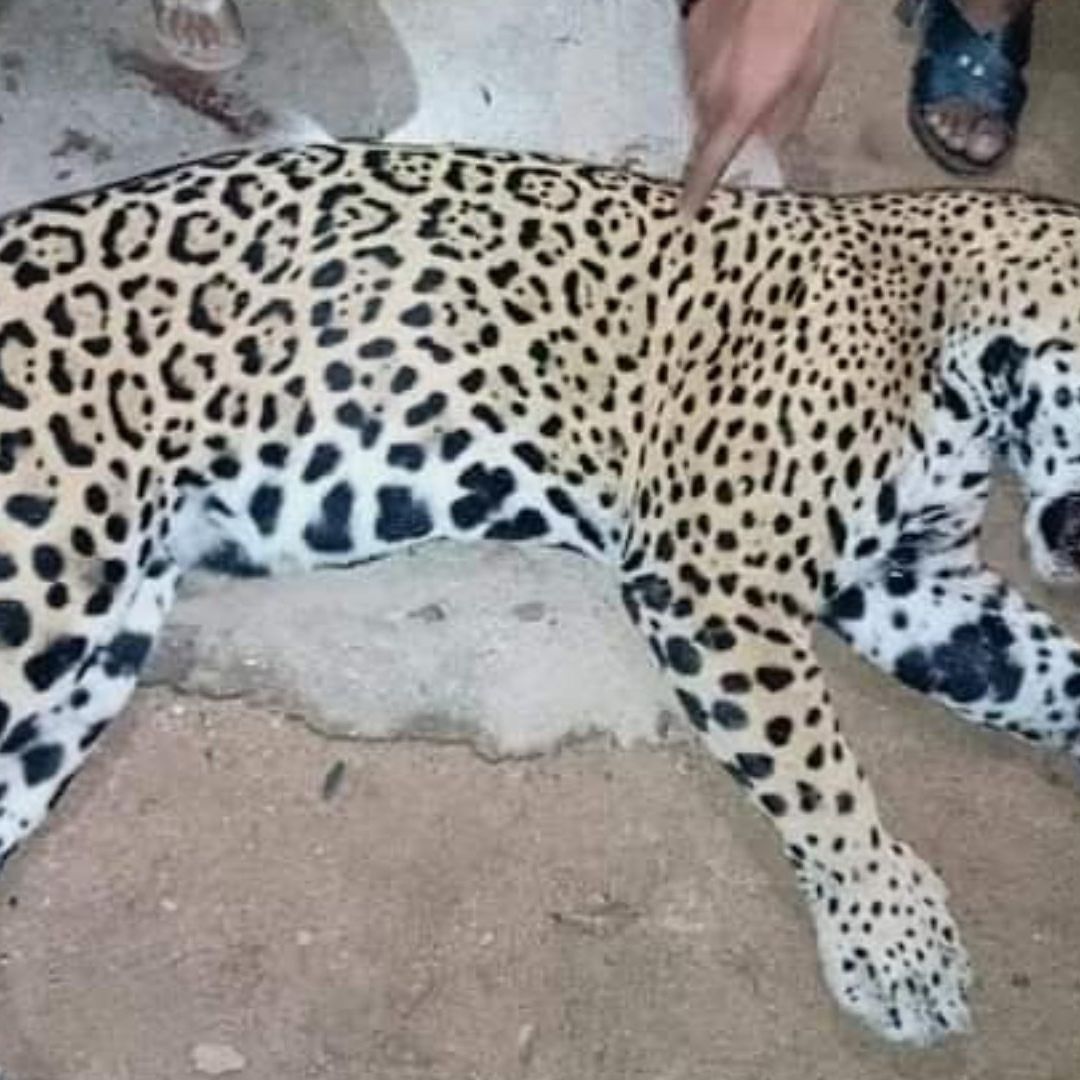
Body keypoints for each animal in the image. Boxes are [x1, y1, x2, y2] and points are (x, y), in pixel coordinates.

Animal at [0, 139, 1079, 1047]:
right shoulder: (718, 575)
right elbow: (818, 771)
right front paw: (894, 945)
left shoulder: (913, 584)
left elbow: (1049, 675)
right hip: (42, 594)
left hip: (87, 673)